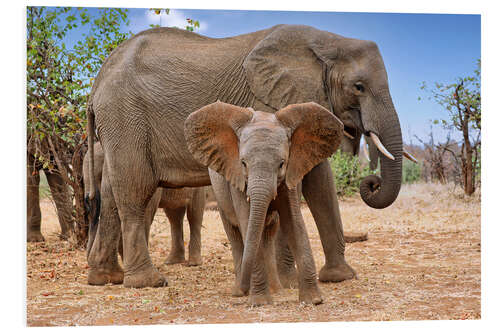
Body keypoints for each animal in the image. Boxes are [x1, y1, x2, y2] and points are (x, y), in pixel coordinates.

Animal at [83, 141, 204, 284]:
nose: (88, 263)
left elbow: (145, 213)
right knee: (174, 215)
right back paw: (171, 262)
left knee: (194, 214)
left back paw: (193, 263)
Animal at [184, 100, 344, 304]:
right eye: (243, 163)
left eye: (282, 164)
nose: (245, 290)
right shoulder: (237, 179)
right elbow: (246, 222)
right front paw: (259, 302)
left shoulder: (291, 174)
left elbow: (294, 223)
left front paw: (313, 300)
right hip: (220, 194)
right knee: (235, 234)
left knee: (268, 233)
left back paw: (275, 290)